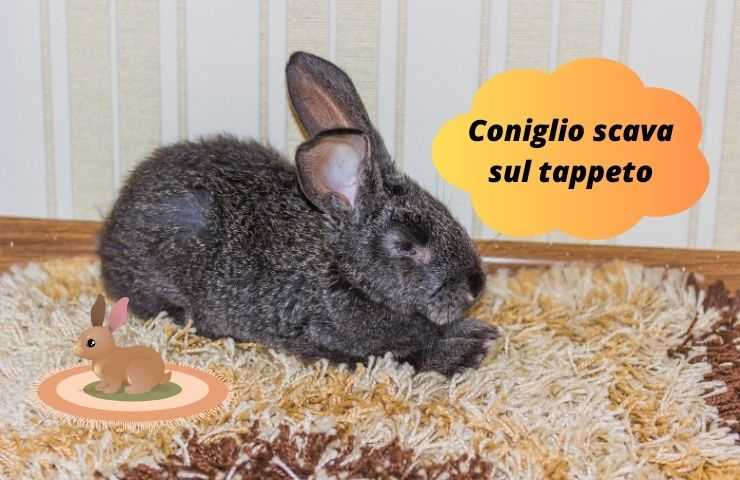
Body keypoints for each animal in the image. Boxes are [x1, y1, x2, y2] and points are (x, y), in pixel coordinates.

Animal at [98, 51, 499, 376]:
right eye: (405, 244)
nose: (477, 285)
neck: (344, 271)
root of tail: (110, 236)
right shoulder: (326, 336)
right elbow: (399, 355)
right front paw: (467, 349)